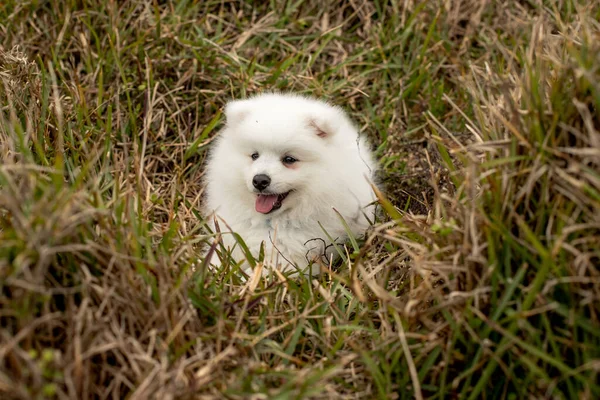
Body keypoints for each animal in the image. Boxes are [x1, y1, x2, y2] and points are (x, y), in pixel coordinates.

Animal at [204, 93, 378, 276]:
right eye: (254, 156)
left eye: (289, 159)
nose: (259, 180)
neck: (272, 221)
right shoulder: (229, 238)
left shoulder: (293, 256)